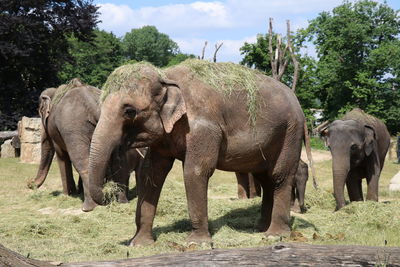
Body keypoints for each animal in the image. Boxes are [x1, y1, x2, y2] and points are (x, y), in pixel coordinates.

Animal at [28, 78, 145, 213]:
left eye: (40, 112)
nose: (29, 183)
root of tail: (97, 106)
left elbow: (62, 156)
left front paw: (68, 194)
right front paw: (76, 192)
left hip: (74, 127)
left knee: (82, 162)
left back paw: (88, 207)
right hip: (114, 127)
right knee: (117, 163)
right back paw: (121, 202)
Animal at [88, 60, 306, 247]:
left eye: (130, 111)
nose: (108, 193)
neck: (165, 75)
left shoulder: (203, 127)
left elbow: (195, 171)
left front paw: (196, 243)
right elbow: (151, 174)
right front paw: (139, 244)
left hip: (291, 132)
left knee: (280, 175)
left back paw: (274, 235)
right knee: (266, 178)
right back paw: (260, 229)